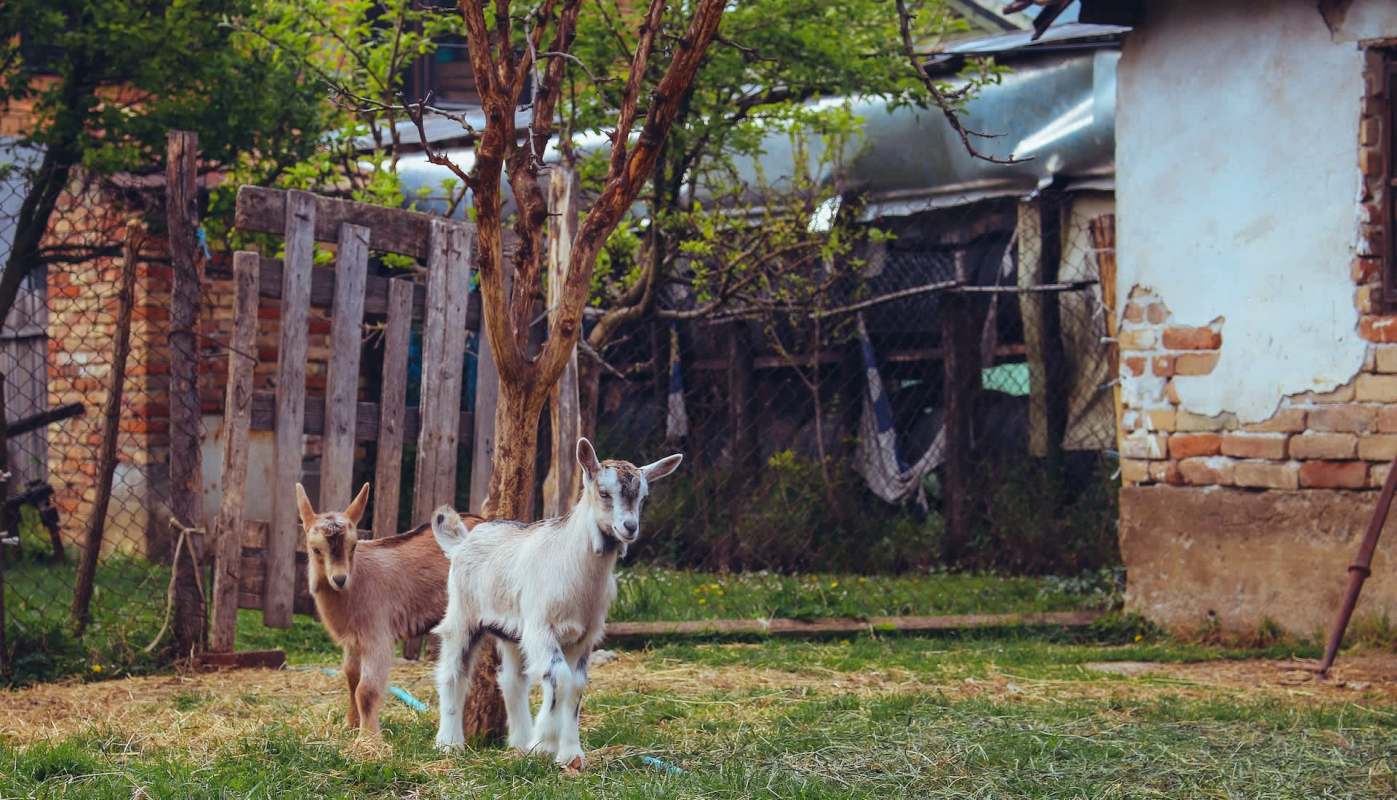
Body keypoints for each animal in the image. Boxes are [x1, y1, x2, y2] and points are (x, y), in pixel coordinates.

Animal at [294, 482, 483, 744]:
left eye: (353, 545)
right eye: (315, 550)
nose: (340, 579)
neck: (357, 582)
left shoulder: (378, 635)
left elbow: (366, 689)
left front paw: (369, 741)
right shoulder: (354, 640)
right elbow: (351, 677)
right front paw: (350, 726)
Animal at [429, 437, 682, 769]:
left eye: (643, 498)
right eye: (604, 492)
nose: (629, 527)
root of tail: (461, 542)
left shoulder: (583, 637)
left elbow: (576, 685)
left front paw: (570, 754)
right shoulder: (542, 629)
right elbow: (559, 678)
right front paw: (544, 745)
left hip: (513, 632)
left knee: (513, 680)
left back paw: (519, 742)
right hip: (463, 614)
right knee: (453, 671)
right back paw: (449, 743)